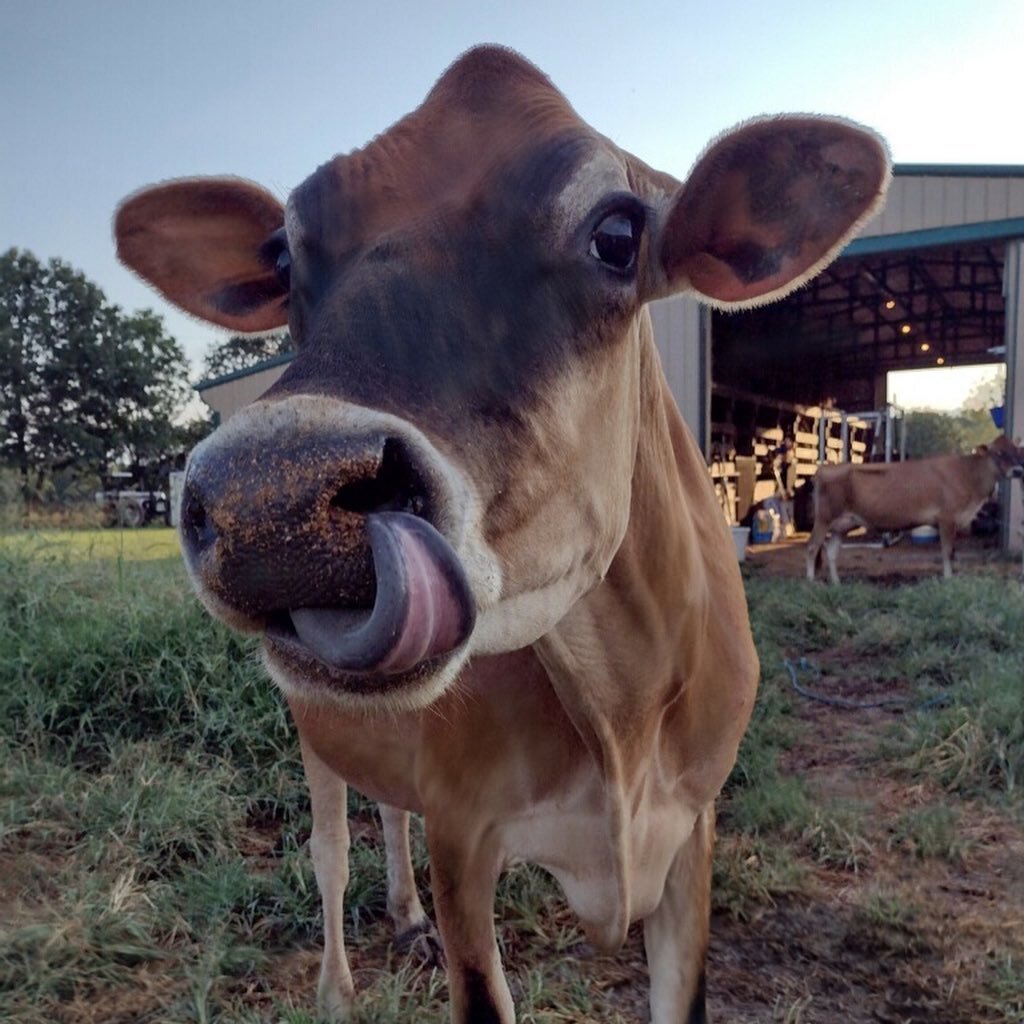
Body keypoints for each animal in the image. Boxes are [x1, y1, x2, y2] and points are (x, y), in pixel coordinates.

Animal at [114, 44, 888, 1019]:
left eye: (617, 235)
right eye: (283, 257)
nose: (273, 501)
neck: (624, 707)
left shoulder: (694, 832)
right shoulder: (465, 832)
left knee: (386, 803)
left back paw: (405, 918)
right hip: (310, 727)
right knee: (330, 853)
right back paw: (337, 988)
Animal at [806, 436, 1024, 585]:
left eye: (1017, 451)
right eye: (998, 452)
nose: (1018, 471)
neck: (968, 475)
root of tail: (822, 469)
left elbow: (952, 552)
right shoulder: (947, 518)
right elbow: (947, 551)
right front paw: (948, 580)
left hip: (843, 524)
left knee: (831, 551)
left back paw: (837, 584)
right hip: (823, 518)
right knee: (812, 547)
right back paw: (811, 583)